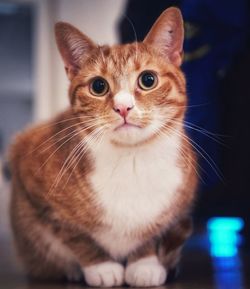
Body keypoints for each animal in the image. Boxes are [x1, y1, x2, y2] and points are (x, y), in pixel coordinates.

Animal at [9, 6, 197, 286]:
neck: (132, 160)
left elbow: (152, 232)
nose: (123, 107)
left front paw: (144, 263)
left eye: (148, 80)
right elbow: (74, 235)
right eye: (98, 86)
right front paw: (102, 267)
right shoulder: (33, 182)